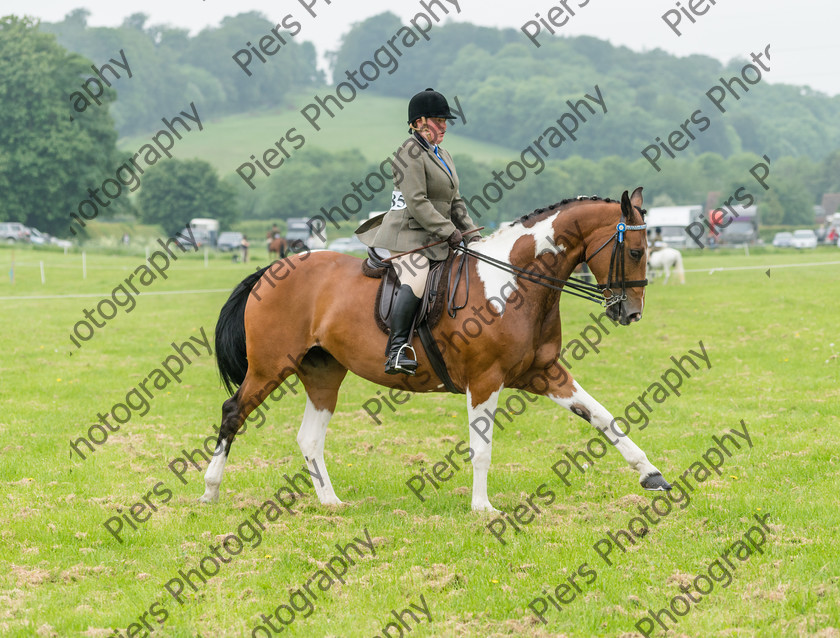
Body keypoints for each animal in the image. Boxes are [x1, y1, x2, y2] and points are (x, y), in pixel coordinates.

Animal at [200, 188, 672, 512]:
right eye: (635, 250)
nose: (631, 313)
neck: (517, 283)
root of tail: (273, 268)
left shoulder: (543, 373)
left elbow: (603, 418)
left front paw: (651, 475)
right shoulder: (485, 380)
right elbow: (482, 447)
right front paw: (482, 508)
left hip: (323, 372)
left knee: (309, 437)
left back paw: (331, 502)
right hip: (269, 367)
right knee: (233, 413)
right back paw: (210, 490)